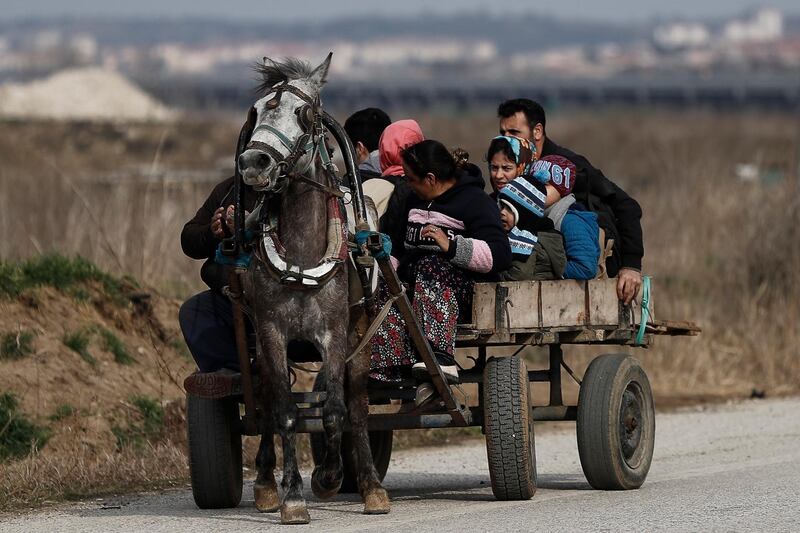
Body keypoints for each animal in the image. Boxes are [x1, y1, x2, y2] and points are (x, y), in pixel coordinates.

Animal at [234, 55, 390, 524]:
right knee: (268, 400)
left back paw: (371, 486)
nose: (255, 161)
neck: (302, 258)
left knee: (357, 404)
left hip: (360, 332)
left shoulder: (335, 331)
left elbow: (336, 410)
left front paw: (330, 476)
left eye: (304, 114)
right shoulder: (271, 331)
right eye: (256, 111)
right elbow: (285, 412)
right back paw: (266, 482)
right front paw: (292, 496)